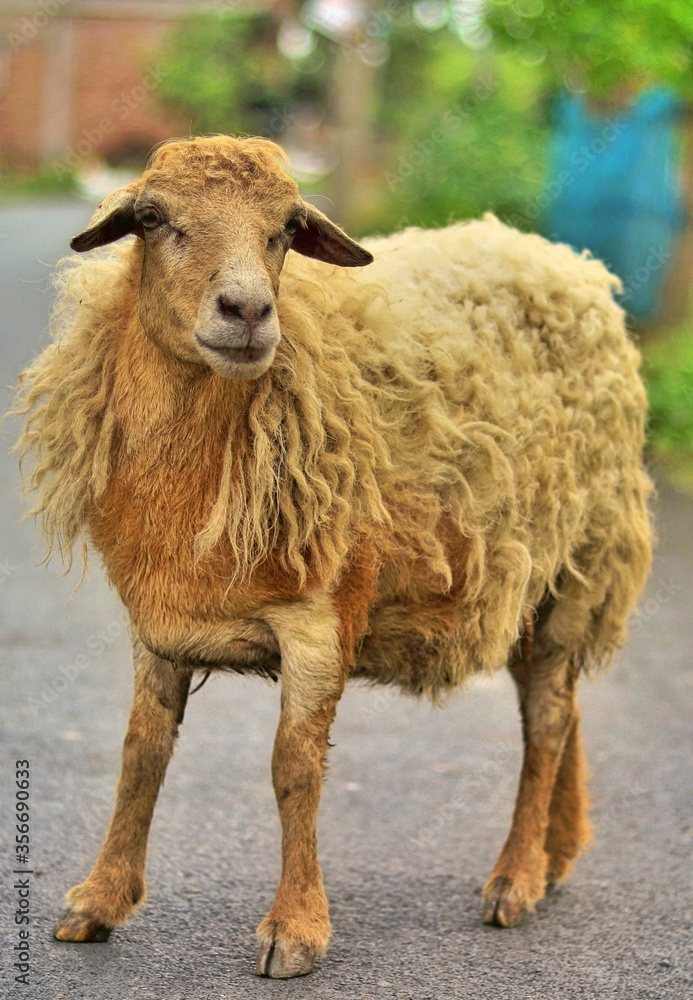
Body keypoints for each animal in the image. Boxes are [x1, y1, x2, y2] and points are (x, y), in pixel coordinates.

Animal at [13, 135, 653, 979]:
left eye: (287, 229)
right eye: (151, 217)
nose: (248, 311)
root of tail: (568, 261)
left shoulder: (319, 620)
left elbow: (294, 768)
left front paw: (294, 929)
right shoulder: (159, 624)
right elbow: (140, 753)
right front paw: (99, 902)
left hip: (576, 565)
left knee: (545, 721)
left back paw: (515, 879)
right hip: (524, 587)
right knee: (560, 707)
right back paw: (555, 853)